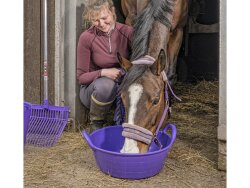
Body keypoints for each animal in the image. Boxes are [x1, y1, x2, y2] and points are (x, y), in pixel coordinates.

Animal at [116, 0, 181, 153]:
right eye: (122, 97)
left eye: (156, 101)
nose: (130, 151)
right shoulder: (131, 18)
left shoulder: (178, 31)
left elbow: (170, 74)